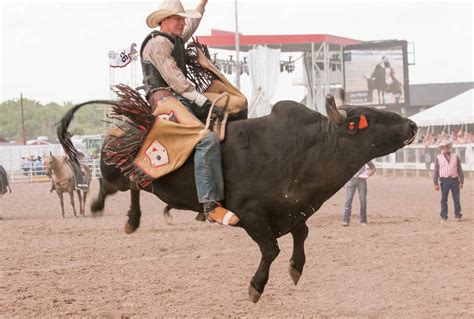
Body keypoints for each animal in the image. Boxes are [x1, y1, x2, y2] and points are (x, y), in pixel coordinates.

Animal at [57, 94, 416, 302]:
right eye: (371, 118)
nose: (412, 124)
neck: (303, 150)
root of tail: (132, 120)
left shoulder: (293, 210)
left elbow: (301, 234)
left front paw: (296, 268)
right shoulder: (250, 213)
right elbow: (271, 249)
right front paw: (256, 286)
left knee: (134, 186)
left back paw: (133, 220)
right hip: (114, 171)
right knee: (110, 184)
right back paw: (104, 208)